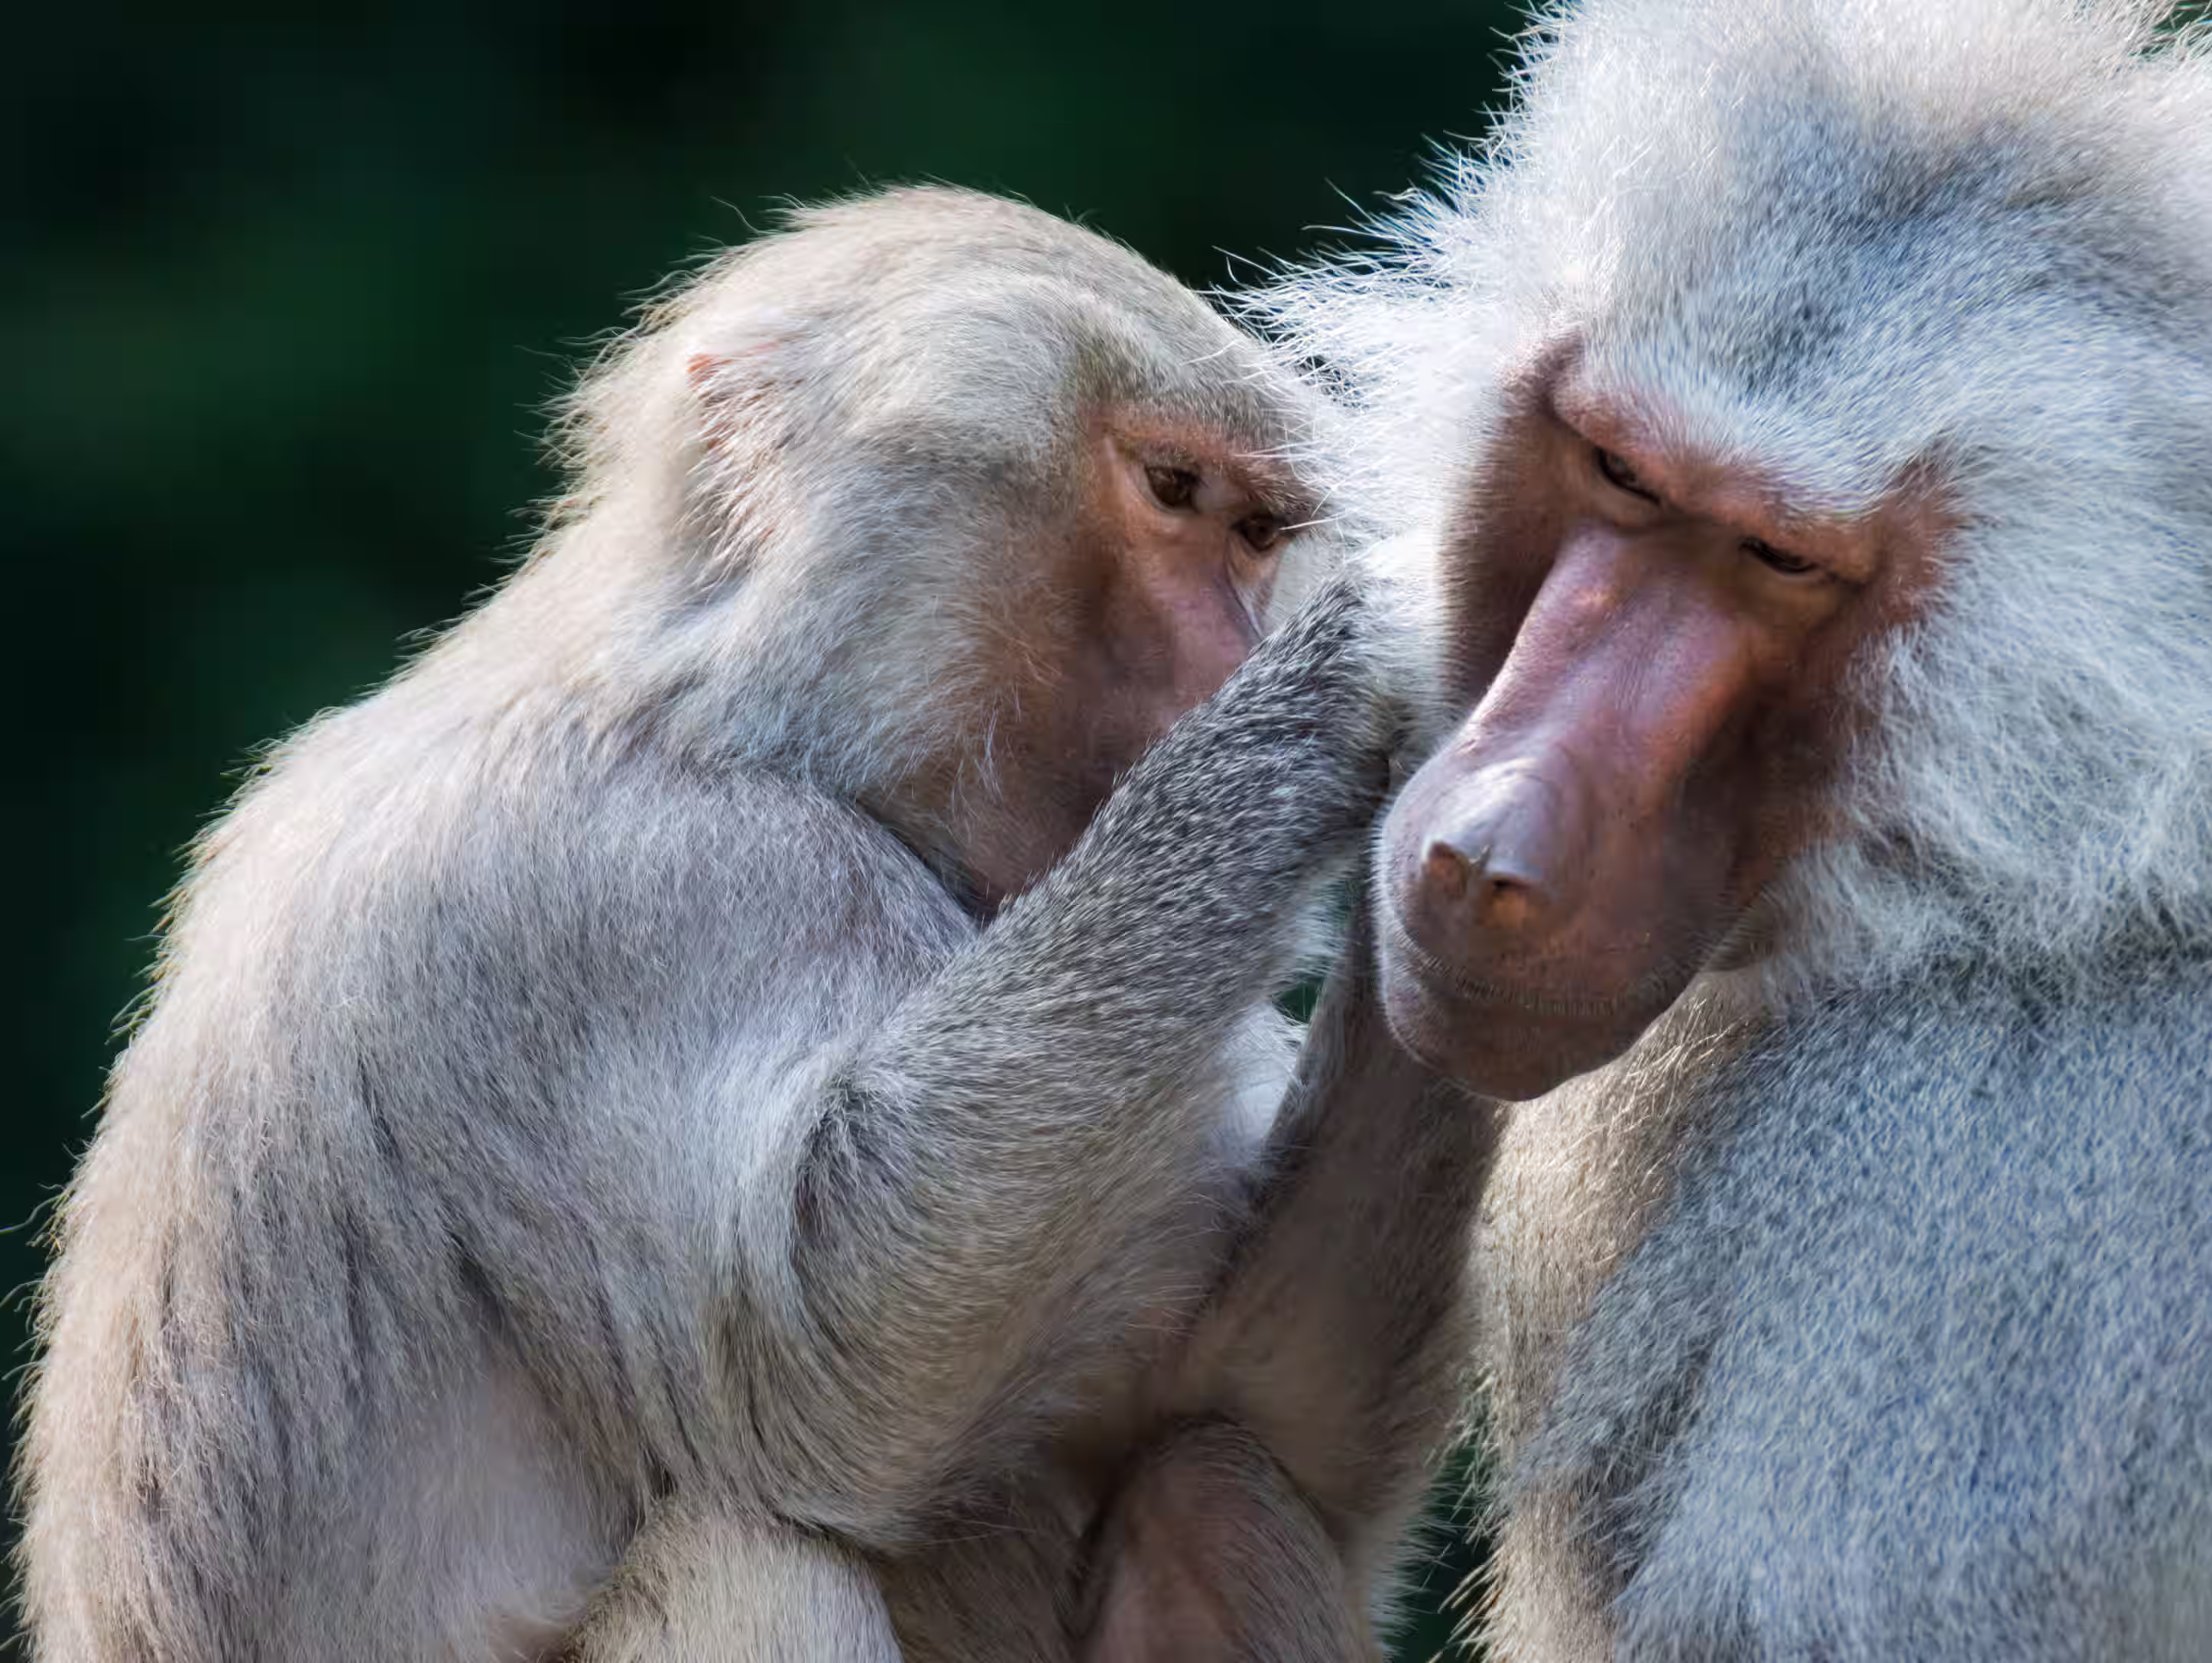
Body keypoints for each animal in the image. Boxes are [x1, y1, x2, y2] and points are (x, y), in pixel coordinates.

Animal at [17, 185, 1494, 1663]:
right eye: (1173, 493)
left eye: (1253, 532)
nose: (1235, 651)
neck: (722, 718)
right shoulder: (623, 901)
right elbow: (820, 1360)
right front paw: (1366, 661)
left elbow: (1239, 1405)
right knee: (747, 1551)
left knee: (1211, 1488)